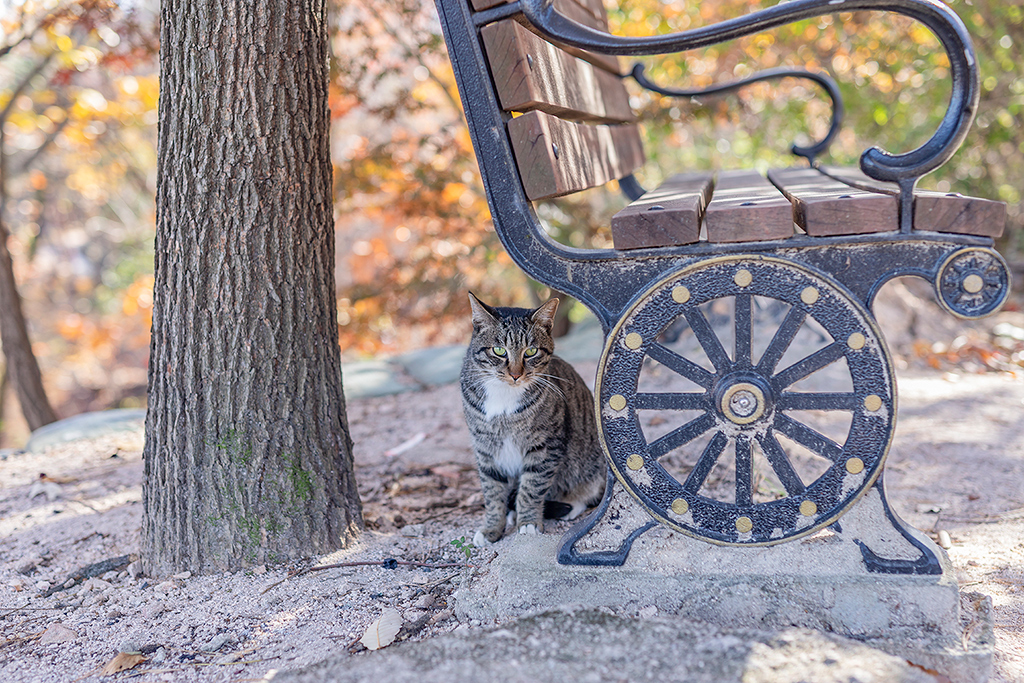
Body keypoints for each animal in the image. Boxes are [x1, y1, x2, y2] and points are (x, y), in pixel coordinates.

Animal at [460, 290, 602, 548]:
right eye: (499, 351)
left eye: (531, 352)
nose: (516, 375)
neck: (504, 398)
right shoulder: (485, 448)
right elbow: (492, 491)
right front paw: (491, 529)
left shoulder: (545, 446)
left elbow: (532, 487)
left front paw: (527, 523)